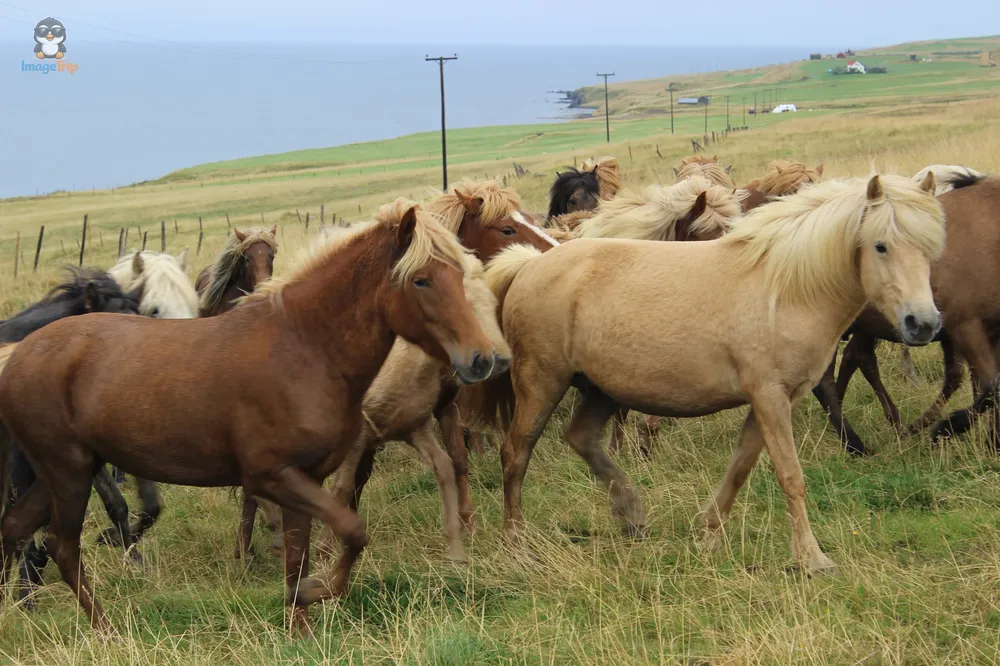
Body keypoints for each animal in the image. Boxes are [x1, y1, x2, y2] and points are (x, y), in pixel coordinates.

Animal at [468, 172, 943, 575]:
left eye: (929, 247)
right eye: (881, 245)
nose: (923, 324)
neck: (785, 289)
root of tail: (527, 266)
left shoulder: (771, 400)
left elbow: (741, 466)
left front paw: (709, 531)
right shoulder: (770, 397)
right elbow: (791, 476)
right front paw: (812, 558)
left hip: (602, 389)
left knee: (581, 438)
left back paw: (631, 512)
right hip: (541, 383)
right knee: (515, 454)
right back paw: (516, 543)